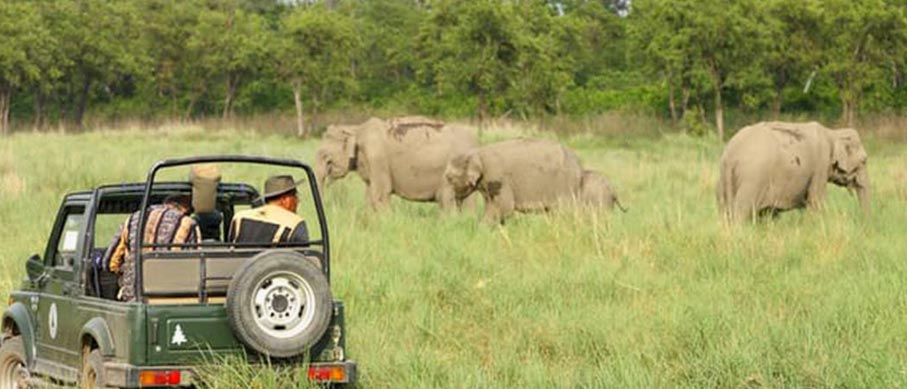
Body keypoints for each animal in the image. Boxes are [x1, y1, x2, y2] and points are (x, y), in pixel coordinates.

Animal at [716, 121, 872, 221]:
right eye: (864, 160)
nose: (863, 222)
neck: (833, 132)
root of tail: (731, 155)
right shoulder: (820, 165)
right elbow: (816, 201)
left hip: (723, 180)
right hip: (752, 180)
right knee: (741, 212)